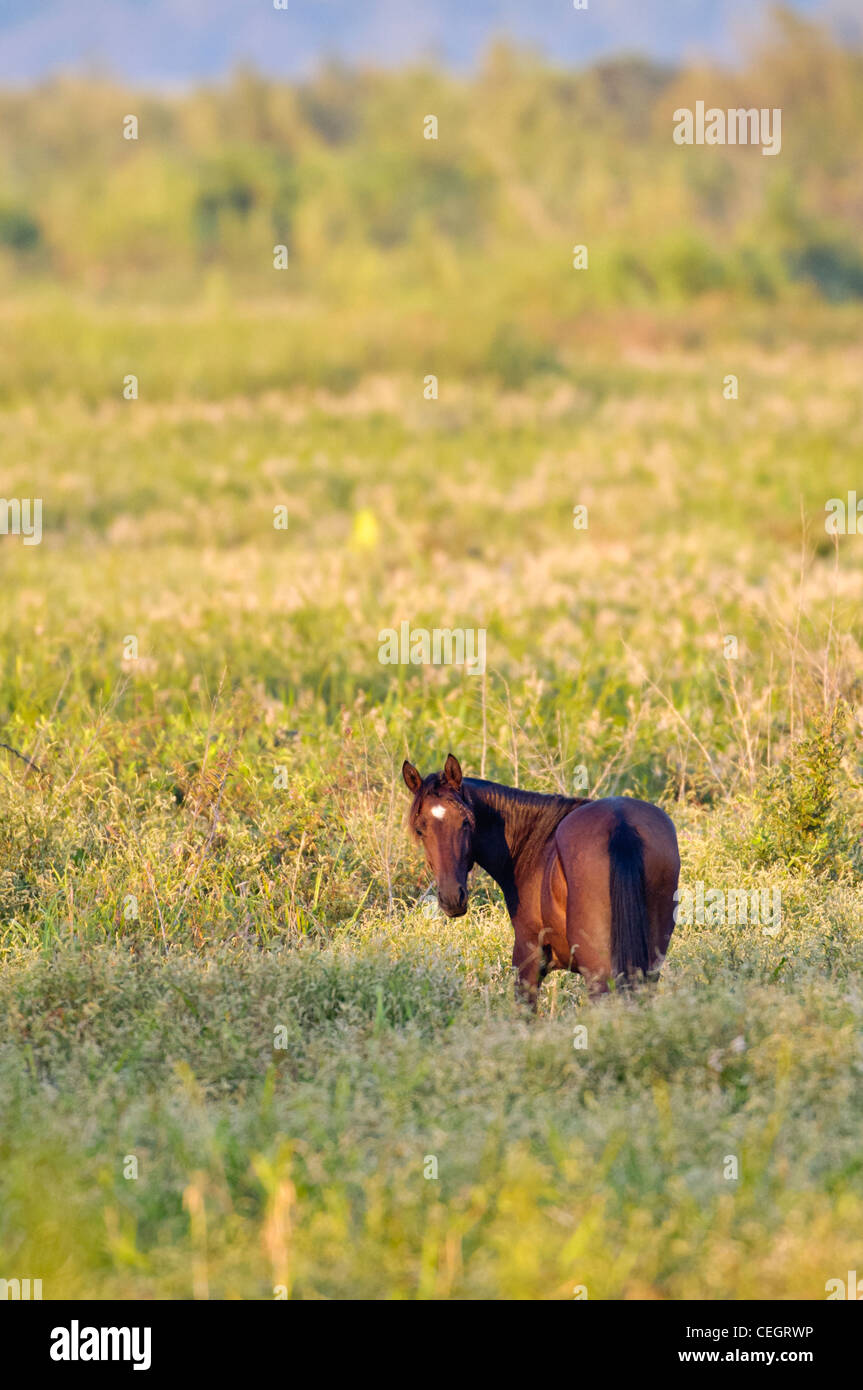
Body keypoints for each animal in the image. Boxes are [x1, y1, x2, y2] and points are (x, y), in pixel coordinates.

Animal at [403, 756, 680, 1006]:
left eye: (465, 822)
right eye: (420, 829)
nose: (452, 898)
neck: (533, 844)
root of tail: (620, 822)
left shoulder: (528, 955)